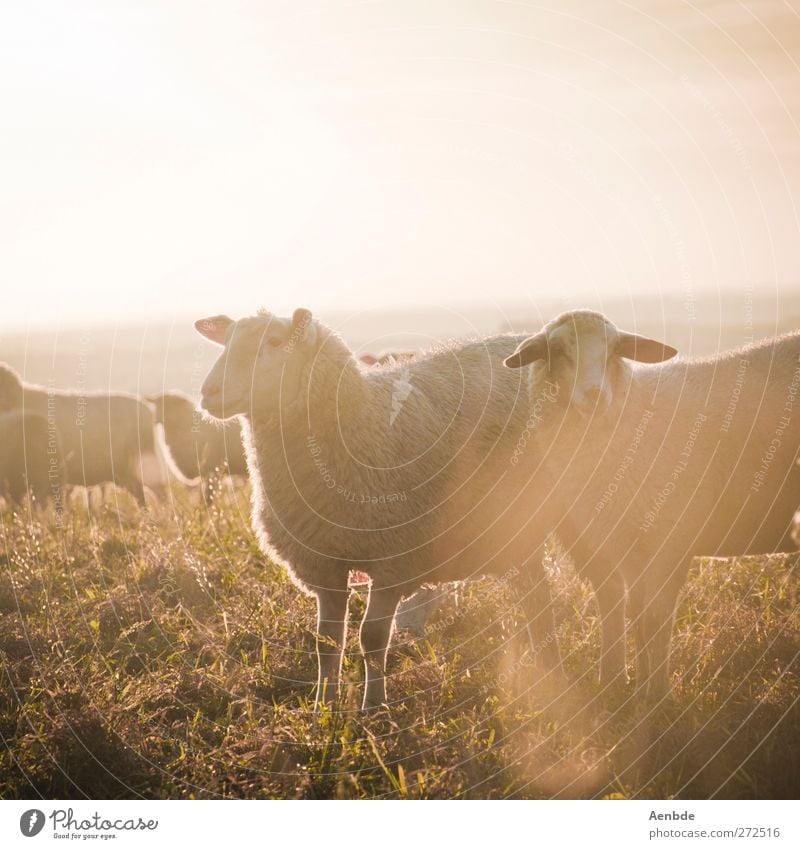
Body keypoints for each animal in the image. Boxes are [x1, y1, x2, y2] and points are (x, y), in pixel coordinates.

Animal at [195, 308, 564, 704]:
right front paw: (324, 705)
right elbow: (327, 641)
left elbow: (371, 638)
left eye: (275, 342)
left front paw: (374, 705)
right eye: (227, 342)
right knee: (534, 591)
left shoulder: (394, 561)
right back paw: (542, 663)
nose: (208, 392)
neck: (358, 423)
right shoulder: (324, 565)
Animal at [506, 308, 800, 700]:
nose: (595, 396)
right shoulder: (624, 543)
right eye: (556, 350)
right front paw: (634, 686)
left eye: (615, 349)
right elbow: (633, 612)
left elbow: (655, 617)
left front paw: (657, 696)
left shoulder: (670, 536)